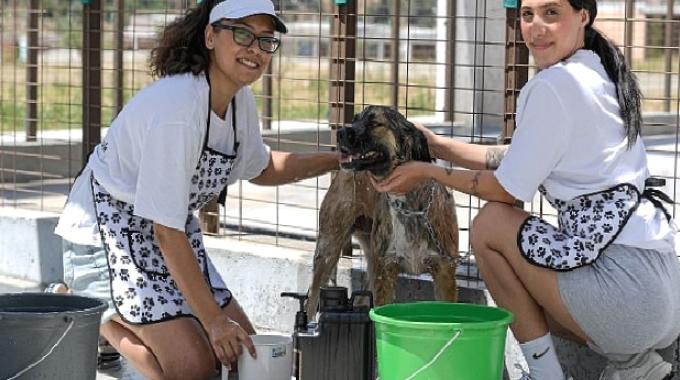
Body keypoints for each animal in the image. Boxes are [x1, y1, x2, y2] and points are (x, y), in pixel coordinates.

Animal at [310, 105, 460, 314]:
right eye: (355, 119)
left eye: (375, 123)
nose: (340, 133)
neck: (409, 206)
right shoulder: (385, 274)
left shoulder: (445, 273)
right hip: (328, 250)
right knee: (310, 301)